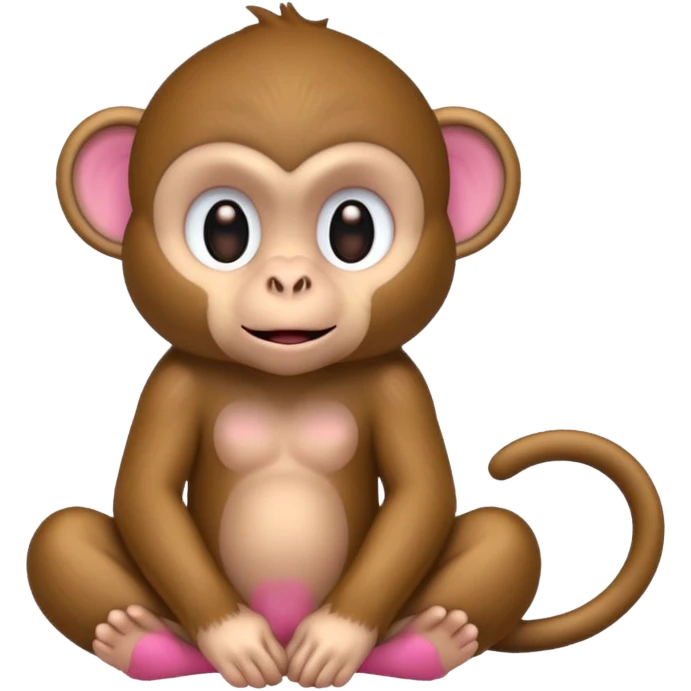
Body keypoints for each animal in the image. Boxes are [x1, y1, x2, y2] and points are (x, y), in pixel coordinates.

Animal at [28, 2, 665, 687]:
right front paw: (235, 640)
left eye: (352, 229)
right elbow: (147, 494)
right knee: (59, 536)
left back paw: (429, 640)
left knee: (506, 534)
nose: (288, 279)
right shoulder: (171, 383)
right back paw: (142, 639)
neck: (285, 382)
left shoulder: (400, 383)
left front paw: (336, 638)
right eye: (224, 229)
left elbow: (421, 494)